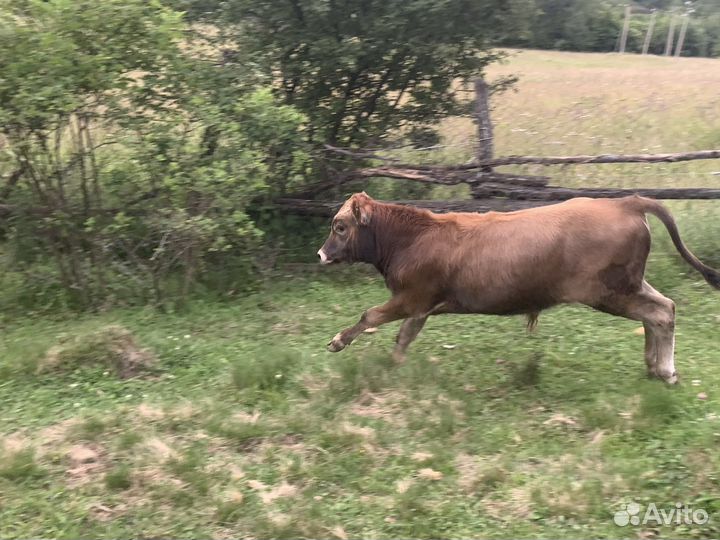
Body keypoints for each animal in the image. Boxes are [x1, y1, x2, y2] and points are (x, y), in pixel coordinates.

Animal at [317, 192, 720, 384]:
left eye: (340, 226)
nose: (321, 254)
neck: (412, 238)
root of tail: (625, 202)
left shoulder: (411, 296)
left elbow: (370, 316)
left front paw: (338, 342)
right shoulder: (421, 306)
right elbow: (404, 337)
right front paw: (396, 365)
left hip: (611, 291)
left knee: (661, 312)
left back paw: (665, 370)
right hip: (630, 284)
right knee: (661, 308)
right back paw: (654, 366)